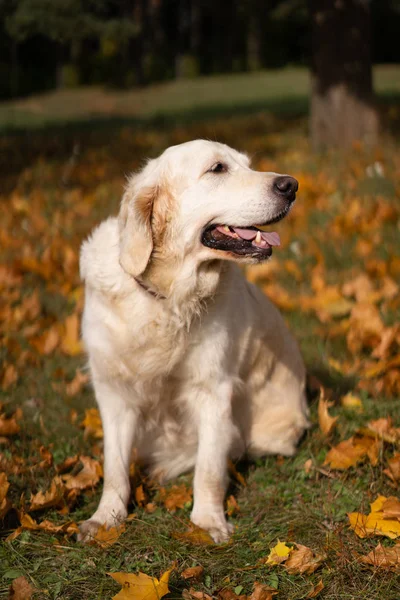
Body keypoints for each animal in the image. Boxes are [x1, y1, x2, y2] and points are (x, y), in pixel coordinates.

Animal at [78, 141, 310, 544]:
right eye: (217, 169)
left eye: (247, 165)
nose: (291, 185)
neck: (166, 298)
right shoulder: (113, 391)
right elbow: (115, 464)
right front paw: (106, 517)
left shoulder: (213, 390)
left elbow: (209, 468)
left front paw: (207, 521)